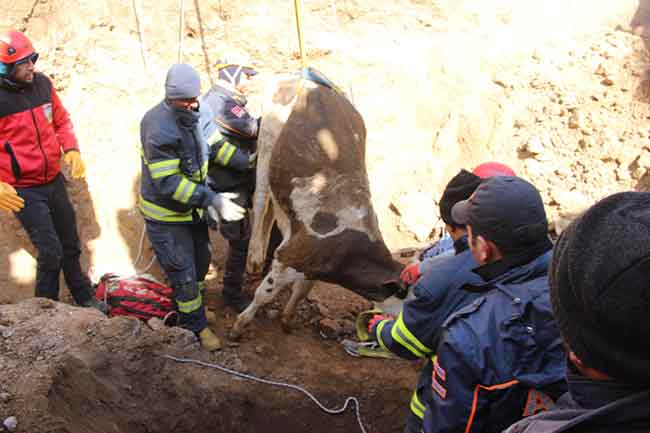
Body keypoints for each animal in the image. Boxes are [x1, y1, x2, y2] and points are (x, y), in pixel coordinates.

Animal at [228, 71, 400, 340]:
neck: (350, 248)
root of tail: (303, 77)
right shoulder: (288, 257)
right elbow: (264, 294)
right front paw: (239, 324)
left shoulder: (310, 267)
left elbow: (302, 290)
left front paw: (287, 319)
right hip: (267, 142)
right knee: (261, 199)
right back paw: (254, 256)